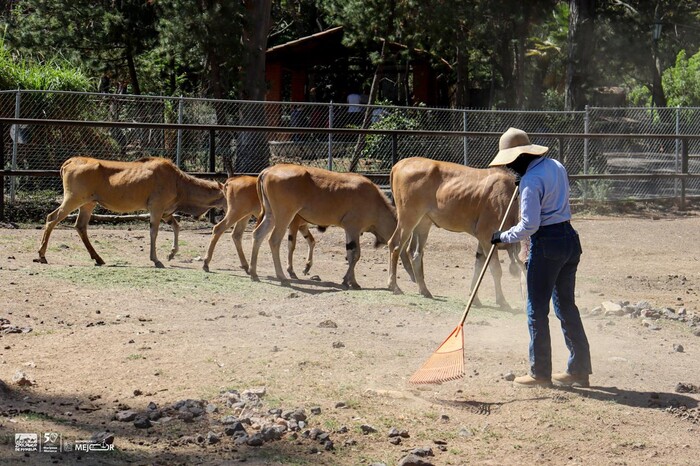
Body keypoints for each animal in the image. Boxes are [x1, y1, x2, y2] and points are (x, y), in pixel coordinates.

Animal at [37, 156, 224, 266]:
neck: (179, 182)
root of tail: (69, 162)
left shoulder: (166, 212)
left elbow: (177, 227)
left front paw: (171, 254)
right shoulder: (156, 209)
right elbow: (154, 232)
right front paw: (156, 259)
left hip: (88, 204)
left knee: (80, 226)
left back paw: (98, 258)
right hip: (73, 199)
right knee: (52, 218)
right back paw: (42, 255)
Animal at [249, 164, 412, 288]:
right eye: (407, 249)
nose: (413, 275)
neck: (374, 200)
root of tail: (268, 171)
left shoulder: (349, 231)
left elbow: (350, 255)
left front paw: (352, 281)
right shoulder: (353, 228)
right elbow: (356, 255)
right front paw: (348, 281)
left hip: (270, 216)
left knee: (258, 234)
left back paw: (253, 273)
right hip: (284, 217)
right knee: (274, 240)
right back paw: (282, 277)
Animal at [388, 157, 524, 306]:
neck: (510, 203)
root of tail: (397, 165)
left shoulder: (482, 240)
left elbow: (478, 266)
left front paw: (475, 299)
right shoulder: (486, 236)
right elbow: (495, 269)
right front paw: (502, 301)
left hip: (423, 223)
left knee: (415, 253)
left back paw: (424, 290)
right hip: (408, 218)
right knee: (395, 244)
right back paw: (394, 286)